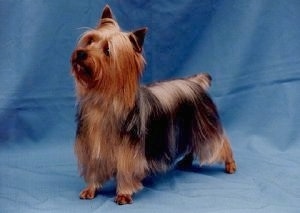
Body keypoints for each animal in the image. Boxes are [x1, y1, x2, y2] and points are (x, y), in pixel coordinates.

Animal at [71, 5, 237, 205]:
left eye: (107, 51)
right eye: (90, 41)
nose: (81, 53)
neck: (104, 99)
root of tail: (195, 82)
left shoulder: (129, 150)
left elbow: (126, 170)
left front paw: (124, 193)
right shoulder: (91, 144)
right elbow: (94, 168)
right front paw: (90, 189)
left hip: (205, 126)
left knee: (221, 143)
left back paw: (230, 164)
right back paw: (186, 161)